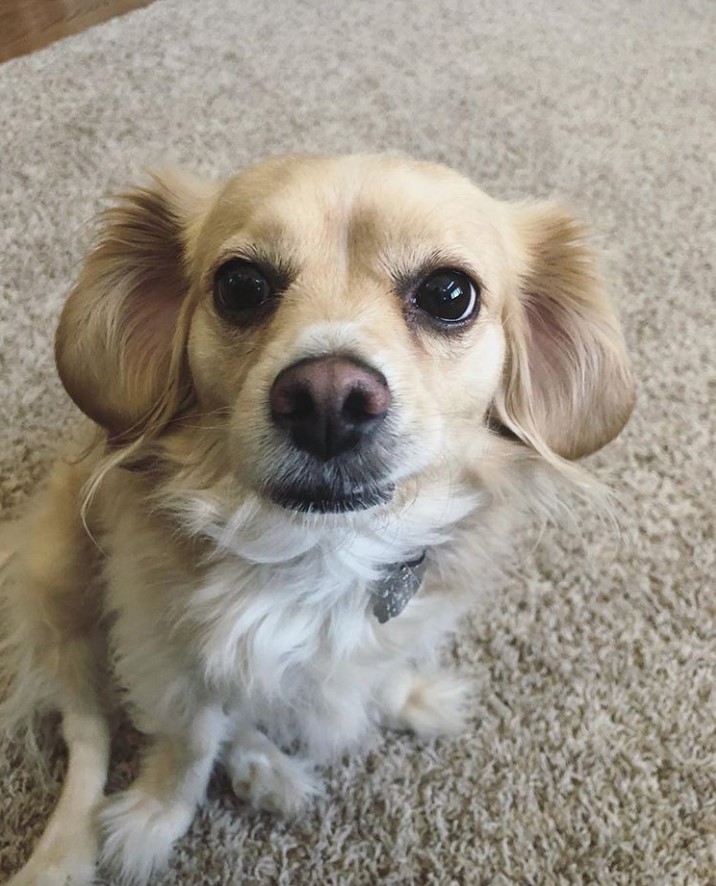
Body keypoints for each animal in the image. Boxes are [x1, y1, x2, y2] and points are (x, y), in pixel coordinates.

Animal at [0, 156, 632, 884]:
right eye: (240, 285)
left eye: (449, 294)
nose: (328, 398)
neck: (323, 550)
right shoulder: (166, 649)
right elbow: (188, 744)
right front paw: (157, 818)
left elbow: (381, 663)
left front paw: (406, 695)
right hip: (63, 591)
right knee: (88, 732)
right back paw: (66, 851)